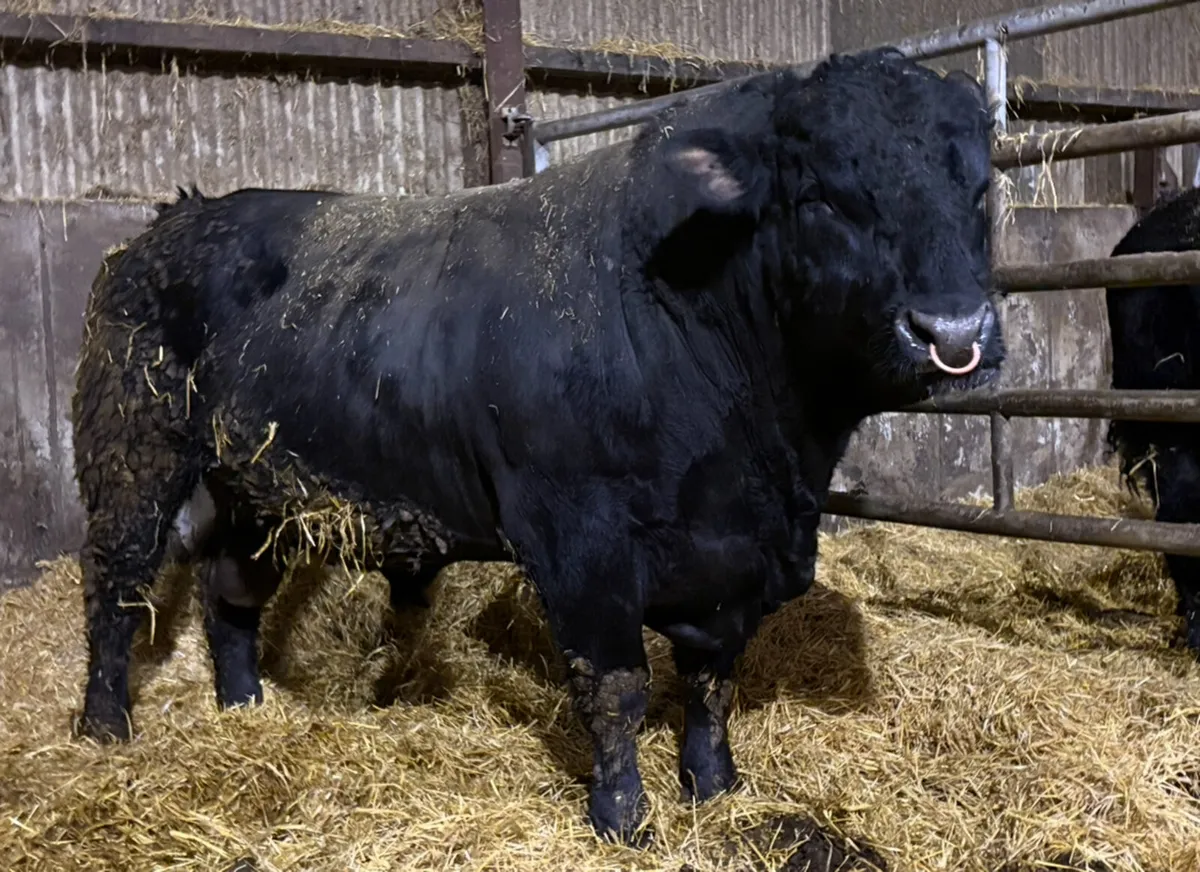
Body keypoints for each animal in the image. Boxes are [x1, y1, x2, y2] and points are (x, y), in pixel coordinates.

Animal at [71, 47, 1003, 846]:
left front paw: (715, 787)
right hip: (133, 451)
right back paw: (105, 726)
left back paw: (245, 709)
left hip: (258, 488)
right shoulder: (578, 541)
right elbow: (617, 688)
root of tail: (176, 217)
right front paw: (624, 819)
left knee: (230, 595)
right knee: (116, 587)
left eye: (981, 191)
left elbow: (712, 681)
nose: (954, 332)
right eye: (820, 197)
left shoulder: (732, 559)